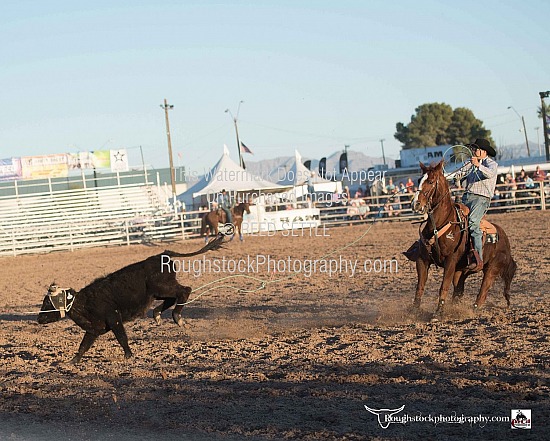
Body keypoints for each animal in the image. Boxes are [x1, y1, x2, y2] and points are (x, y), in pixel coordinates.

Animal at [410, 160, 516, 314]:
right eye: (419, 180)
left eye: (430, 181)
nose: (415, 204)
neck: (440, 224)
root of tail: (504, 237)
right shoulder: (422, 260)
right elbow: (420, 287)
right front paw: (414, 310)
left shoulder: (450, 261)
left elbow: (444, 286)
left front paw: (439, 312)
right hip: (462, 270)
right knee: (459, 290)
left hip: (492, 267)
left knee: (484, 288)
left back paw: (474, 308)